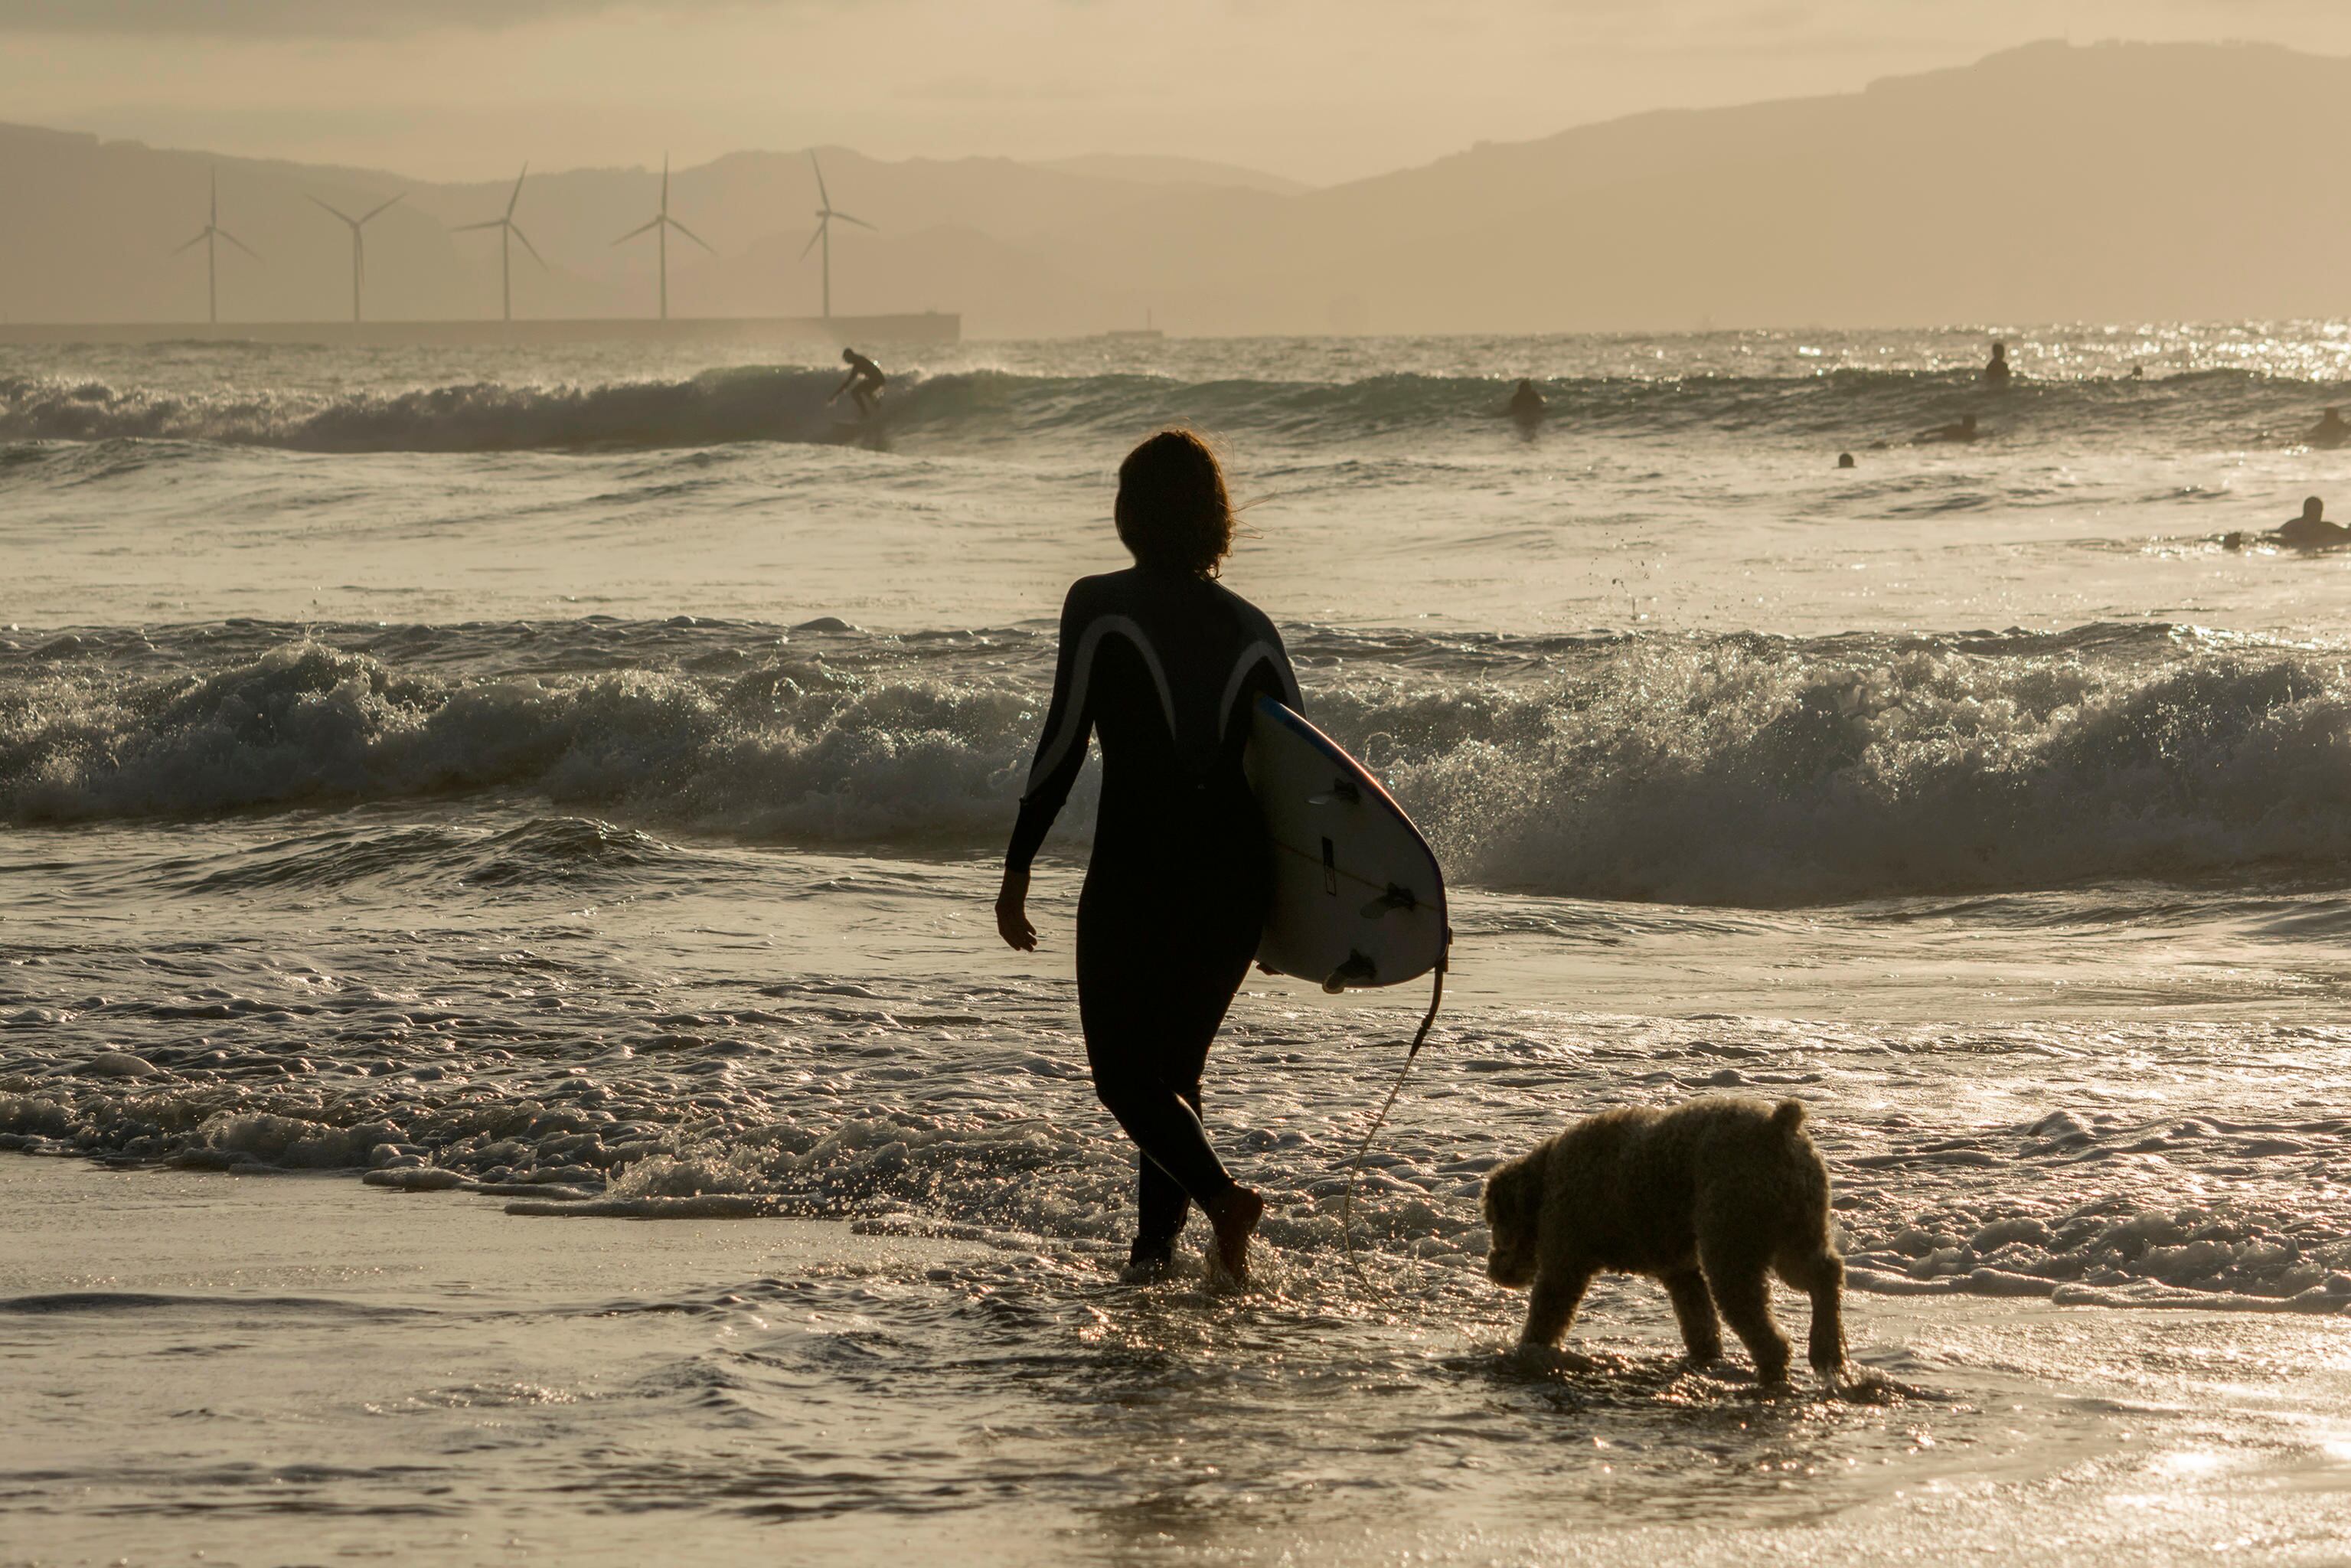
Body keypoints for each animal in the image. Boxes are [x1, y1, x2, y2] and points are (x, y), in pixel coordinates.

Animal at [1485, 1099, 1833, 1382]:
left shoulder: (1564, 1262)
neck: (1545, 1180)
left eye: (1495, 1224)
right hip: (1797, 1229)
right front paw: (1705, 1357)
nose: (1492, 1271)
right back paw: (1827, 1350)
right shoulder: (1680, 1271)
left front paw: (1527, 1352)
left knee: (1762, 1325)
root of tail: (1776, 1126)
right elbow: (1699, 1321)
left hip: (1733, 1241)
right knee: (1825, 1274)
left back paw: (1779, 1367)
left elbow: (1546, 1313)